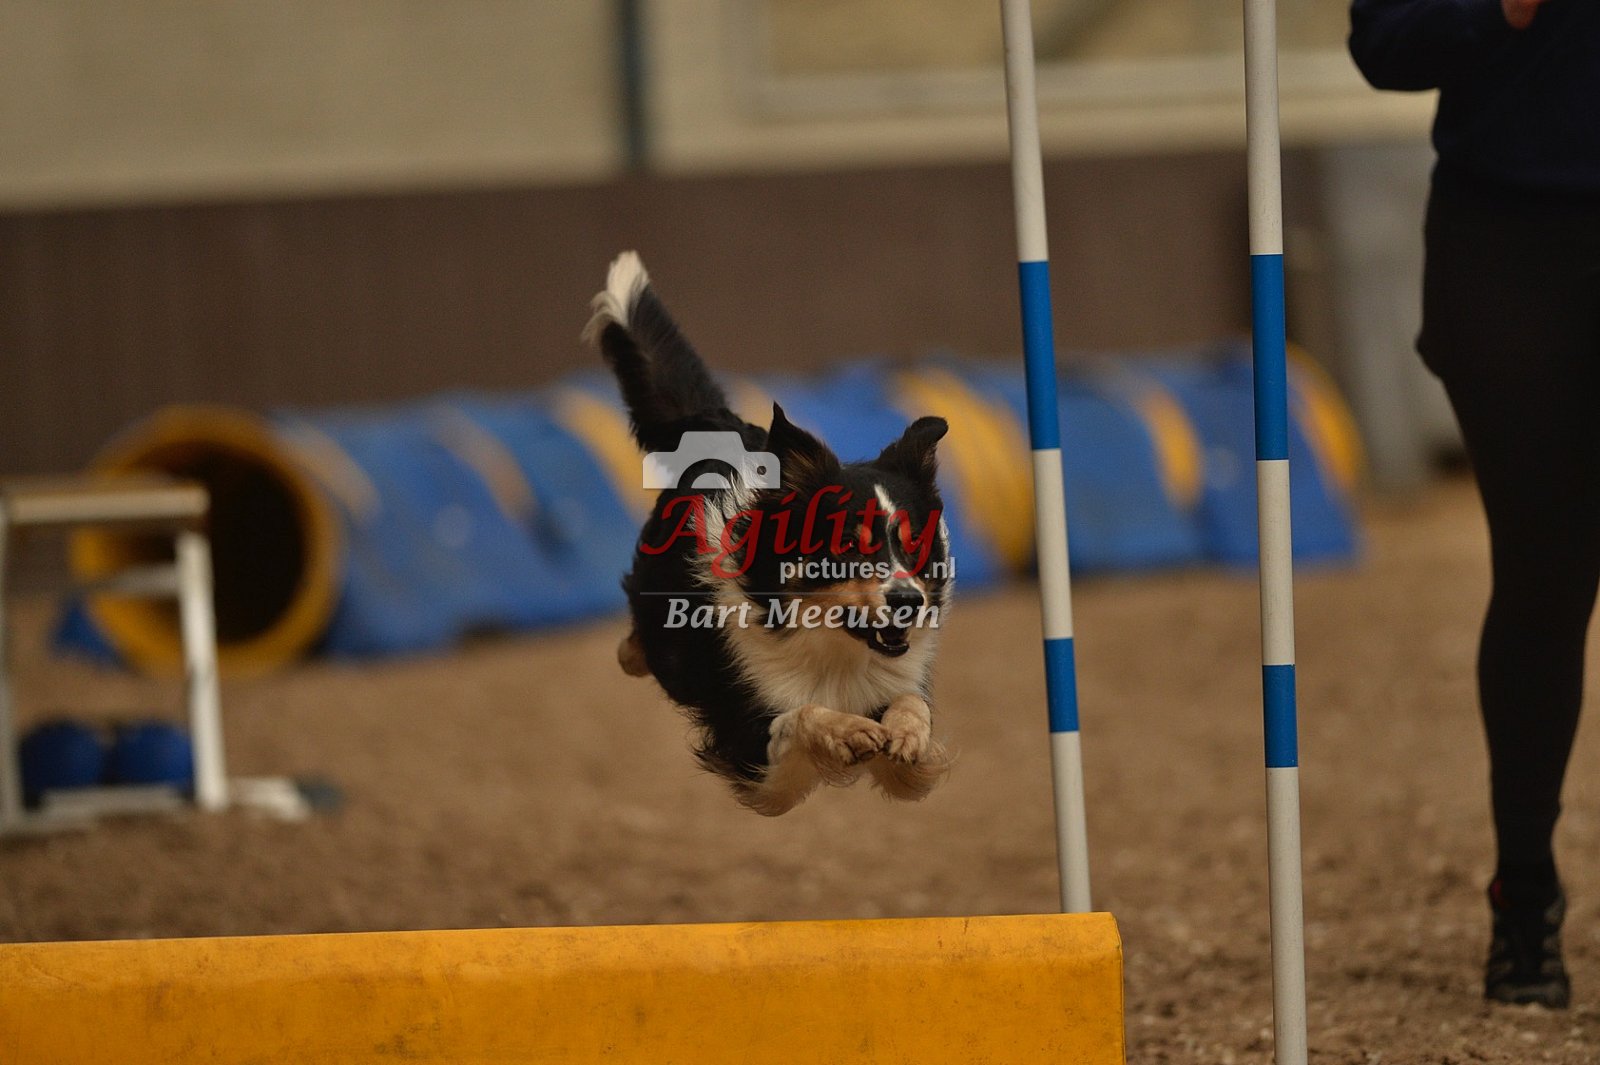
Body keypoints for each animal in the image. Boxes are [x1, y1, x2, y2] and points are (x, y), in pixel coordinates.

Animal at [584, 252, 954, 815]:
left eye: (912, 543)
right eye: (847, 545)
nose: (908, 601)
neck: (831, 649)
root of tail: (722, 426)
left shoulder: (899, 680)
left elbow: (912, 711)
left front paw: (906, 735)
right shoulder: (750, 753)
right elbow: (798, 716)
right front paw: (847, 732)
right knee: (639, 646)